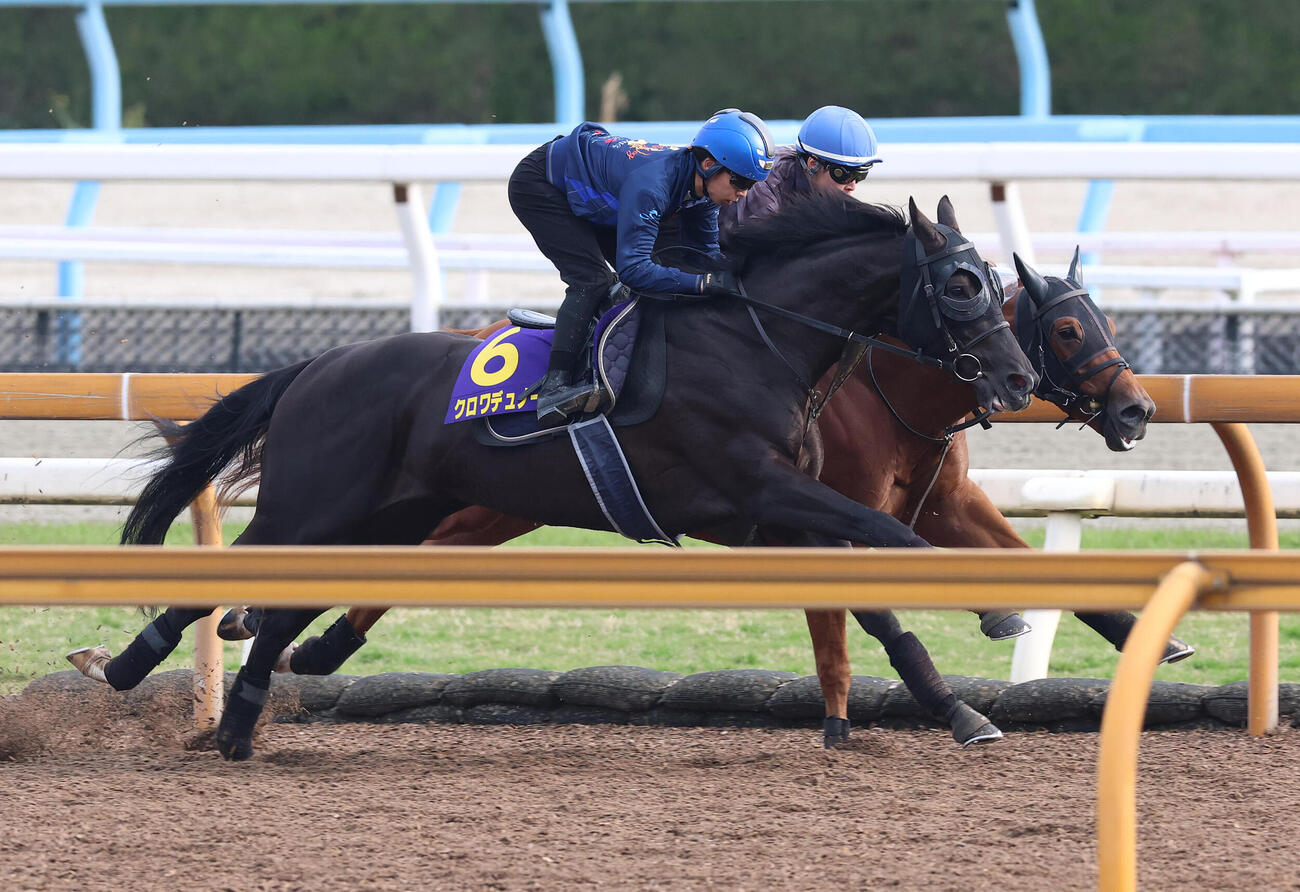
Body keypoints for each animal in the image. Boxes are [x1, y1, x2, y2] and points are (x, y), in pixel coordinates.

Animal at [73, 193, 1037, 761]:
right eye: (960, 286)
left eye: (995, 282)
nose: (1018, 377)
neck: (754, 339)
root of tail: (317, 364)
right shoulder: (762, 492)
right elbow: (894, 537)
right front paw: (991, 609)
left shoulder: (782, 514)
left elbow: (872, 598)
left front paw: (961, 709)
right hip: (318, 505)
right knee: (234, 583)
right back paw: (128, 669)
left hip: (388, 514)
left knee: (281, 612)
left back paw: (238, 725)